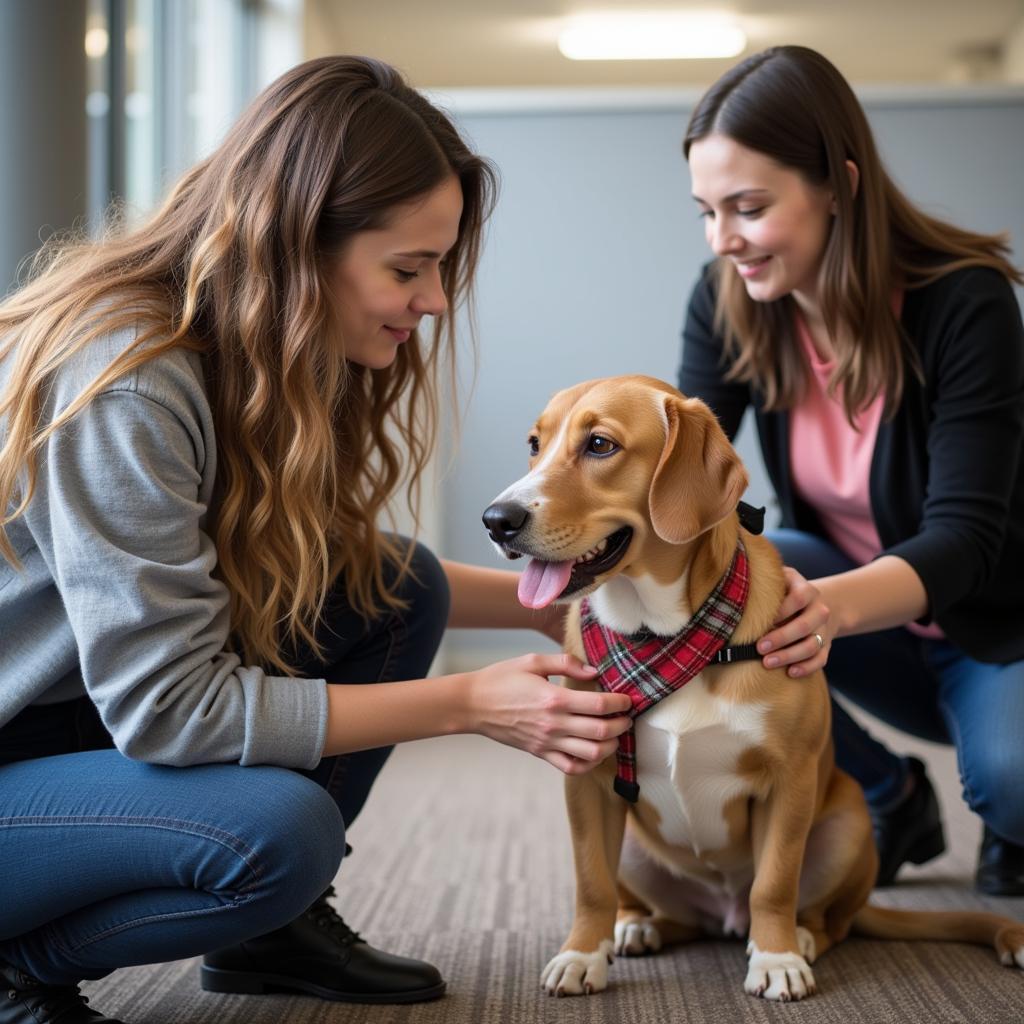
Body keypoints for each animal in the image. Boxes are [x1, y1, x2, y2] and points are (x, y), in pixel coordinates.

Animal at [481, 374, 1024, 999]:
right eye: (534, 444)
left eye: (599, 445)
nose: (495, 519)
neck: (659, 634)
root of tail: (723, 913)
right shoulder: (587, 779)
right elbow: (592, 882)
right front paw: (580, 955)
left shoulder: (789, 782)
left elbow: (775, 884)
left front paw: (777, 958)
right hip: (639, 850)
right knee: (661, 911)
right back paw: (638, 928)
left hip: (847, 821)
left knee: (828, 918)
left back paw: (800, 937)